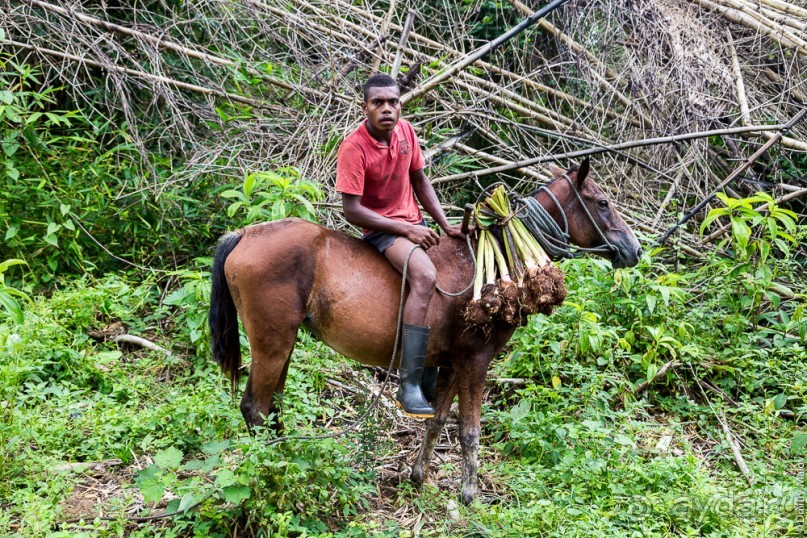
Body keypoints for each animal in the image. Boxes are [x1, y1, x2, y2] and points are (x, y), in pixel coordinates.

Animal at [211, 158, 640, 502]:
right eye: (602, 203)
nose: (635, 250)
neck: (496, 262)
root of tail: (246, 233)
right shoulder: (475, 362)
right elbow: (469, 431)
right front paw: (470, 494)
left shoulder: (450, 364)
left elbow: (436, 421)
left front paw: (419, 477)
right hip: (272, 344)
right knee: (255, 409)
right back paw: (275, 472)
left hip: (284, 345)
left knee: (271, 408)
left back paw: (288, 461)